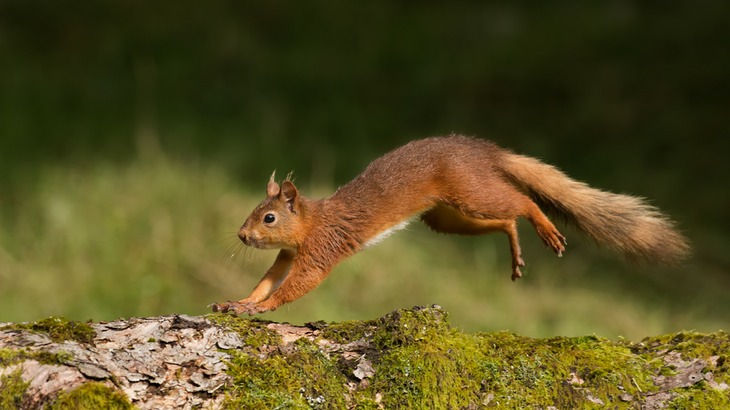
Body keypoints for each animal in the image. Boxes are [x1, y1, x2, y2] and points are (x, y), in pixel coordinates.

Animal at [209, 135, 688, 314]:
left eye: (269, 217)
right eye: (254, 212)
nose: (242, 235)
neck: (311, 222)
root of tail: (484, 151)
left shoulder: (321, 248)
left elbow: (299, 283)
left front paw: (262, 309)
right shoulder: (288, 253)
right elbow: (268, 279)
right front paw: (238, 302)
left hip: (470, 193)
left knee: (522, 201)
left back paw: (544, 228)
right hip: (446, 218)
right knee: (504, 219)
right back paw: (515, 247)